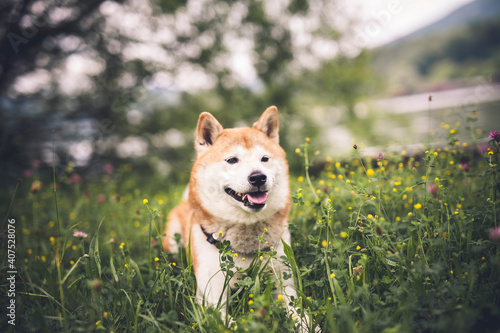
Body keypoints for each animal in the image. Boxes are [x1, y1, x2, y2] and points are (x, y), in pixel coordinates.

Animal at [162, 105, 300, 322]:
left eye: (265, 159)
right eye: (232, 160)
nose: (258, 177)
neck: (245, 249)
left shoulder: (285, 285)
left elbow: (300, 313)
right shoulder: (211, 297)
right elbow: (230, 324)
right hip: (174, 242)